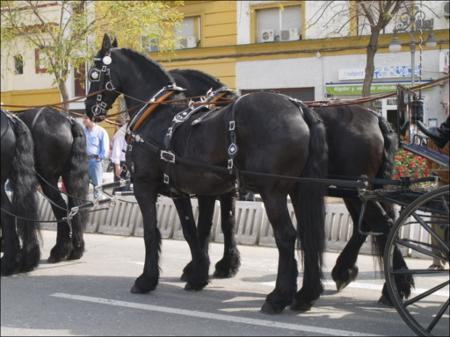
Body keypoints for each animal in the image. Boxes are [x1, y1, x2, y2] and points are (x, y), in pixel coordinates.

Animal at [17, 107, 89, 262]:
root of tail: (69, 121)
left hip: (48, 179)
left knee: (60, 208)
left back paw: (59, 251)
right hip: (68, 177)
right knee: (74, 206)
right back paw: (76, 250)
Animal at [86, 34, 328, 312]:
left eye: (93, 73)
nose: (89, 109)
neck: (158, 115)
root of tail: (297, 107)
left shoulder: (145, 187)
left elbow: (152, 232)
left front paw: (148, 279)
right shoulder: (182, 192)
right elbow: (194, 230)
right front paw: (199, 273)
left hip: (273, 193)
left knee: (287, 236)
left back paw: (278, 296)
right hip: (299, 190)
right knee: (309, 236)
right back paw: (306, 294)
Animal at [168, 69, 412, 304]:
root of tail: (376, 117)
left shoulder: (210, 190)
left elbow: (205, 227)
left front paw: (200, 268)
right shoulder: (224, 189)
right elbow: (226, 223)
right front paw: (224, 264)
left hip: (352, 190)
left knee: (377, 224)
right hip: (359, 190)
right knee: (376, 224)